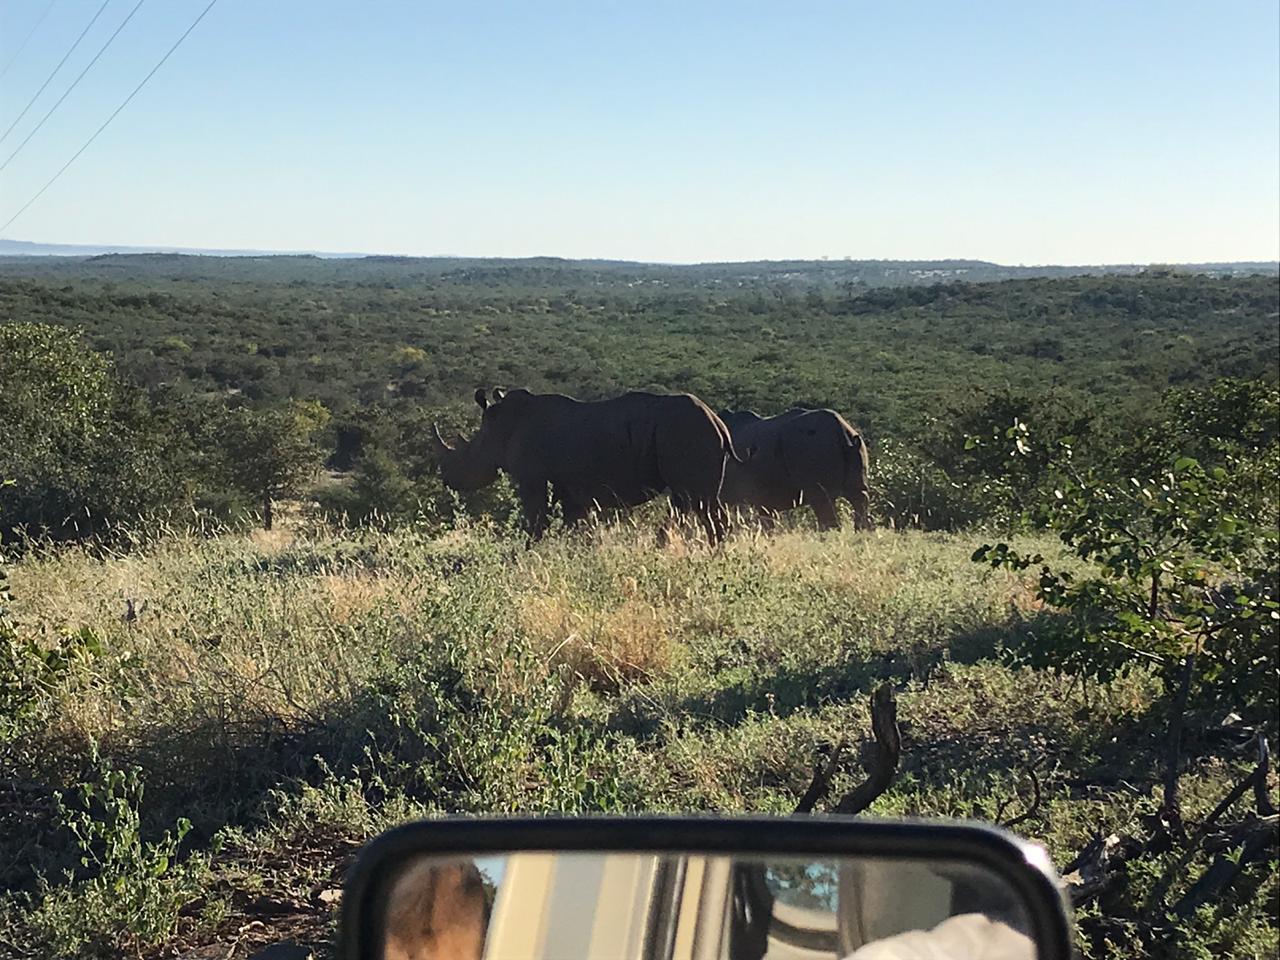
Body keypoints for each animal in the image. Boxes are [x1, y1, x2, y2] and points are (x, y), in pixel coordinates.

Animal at [430, 388, 744, 542]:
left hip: (687, 432)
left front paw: (529, 551)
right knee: (689, 501)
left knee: (698, 502)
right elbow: (576, 525)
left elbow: (535, 520)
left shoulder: (533, 479)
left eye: (466, 455)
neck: (500, 428)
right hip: (688, 434)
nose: (447, 480)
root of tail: (718, 422)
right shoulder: (571, 488)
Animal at [719, 407, 871, 531]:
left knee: (822, 500)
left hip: (813, 447)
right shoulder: (763, 498)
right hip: (856, 446)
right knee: (858, 495)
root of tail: (842, 431)